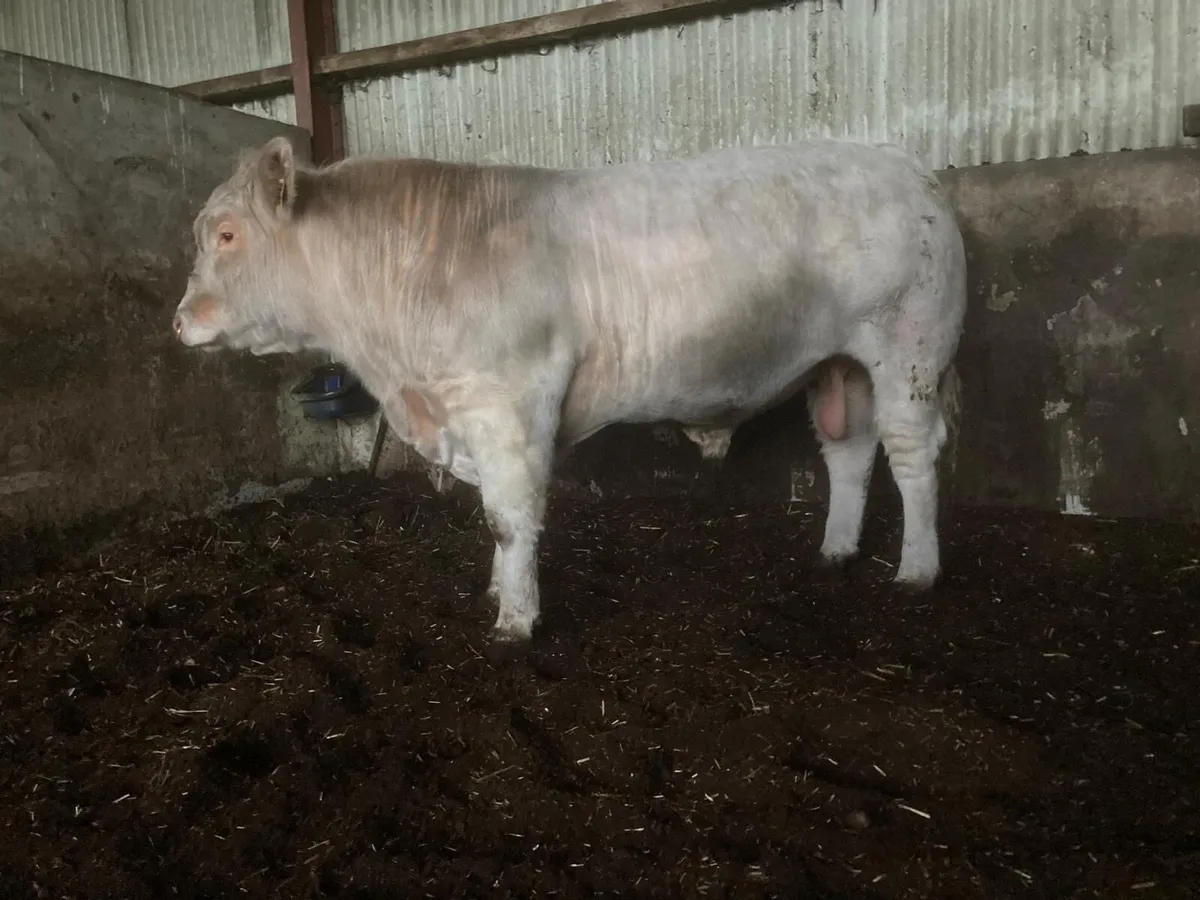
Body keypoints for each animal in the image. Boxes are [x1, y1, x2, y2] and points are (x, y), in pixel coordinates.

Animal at [172, 135, 968, 646]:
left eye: (227, 235)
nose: (180, 320)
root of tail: (909, 168)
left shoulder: (509, 405)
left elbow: (508, 517)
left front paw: (515, 621)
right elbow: (498, 518)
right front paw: (499, 591)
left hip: (909, 350)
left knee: (913, 458)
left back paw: (918, 571)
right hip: (841, 366)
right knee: (850, 452)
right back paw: (836, 551)